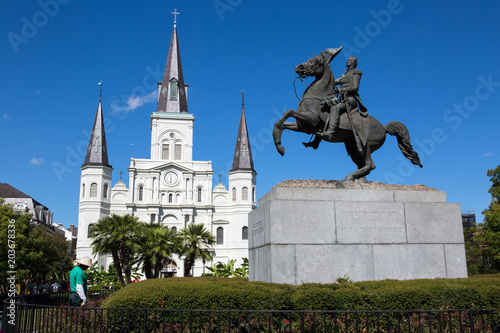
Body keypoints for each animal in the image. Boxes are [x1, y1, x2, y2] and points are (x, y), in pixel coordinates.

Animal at [274, 48, 422, 180]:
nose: (298, 67)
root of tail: (383, 128)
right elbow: (282, 124)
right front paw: (279, 146)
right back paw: (358, 179)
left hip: (366, 145)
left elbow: (288, 113)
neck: (317, 96)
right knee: (363, 165)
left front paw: (279, 146)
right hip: (353, 147)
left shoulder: (311, 120)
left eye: (315, 61)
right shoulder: (303, 127)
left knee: (370, 165)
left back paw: (349, 177)